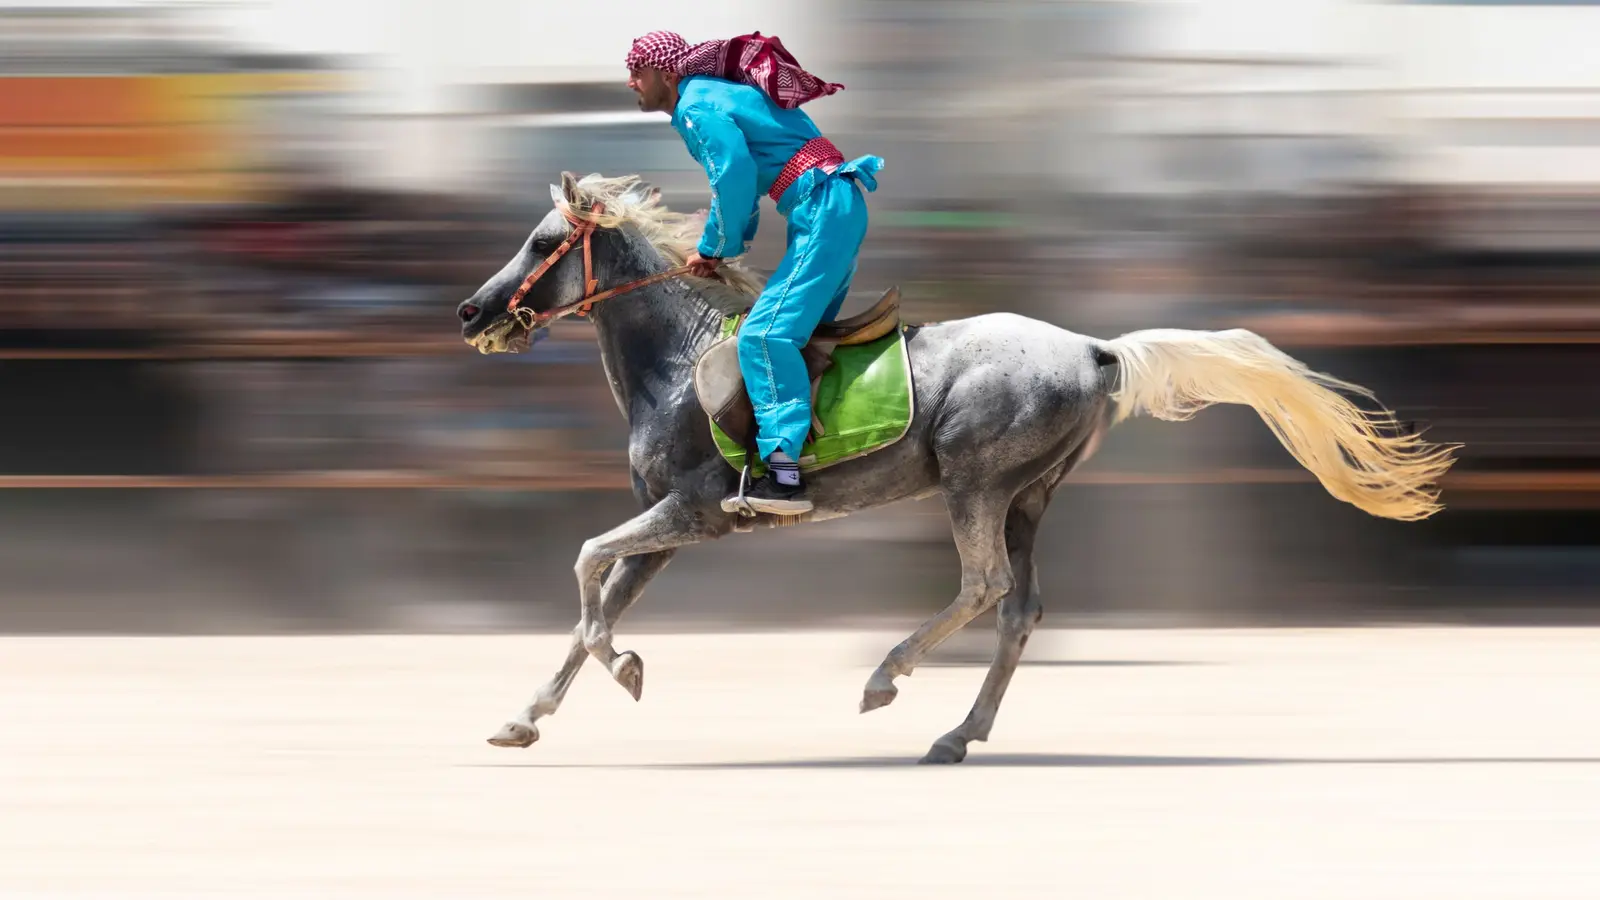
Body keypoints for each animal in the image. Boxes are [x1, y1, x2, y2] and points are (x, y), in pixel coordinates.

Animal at [455, 172, 1458, 764]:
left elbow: (585, 563)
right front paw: (525, 716)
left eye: (542, 243)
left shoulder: (696, 515)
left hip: (975, 481)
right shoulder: (667, 531)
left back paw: (886, 679)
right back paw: (957, 732)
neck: (675, 363)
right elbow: (592, 603)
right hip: (1029, 495)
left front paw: (624, 668)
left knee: (983, 587)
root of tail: (1093, 347)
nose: (472, 312)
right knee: (1020, 610)